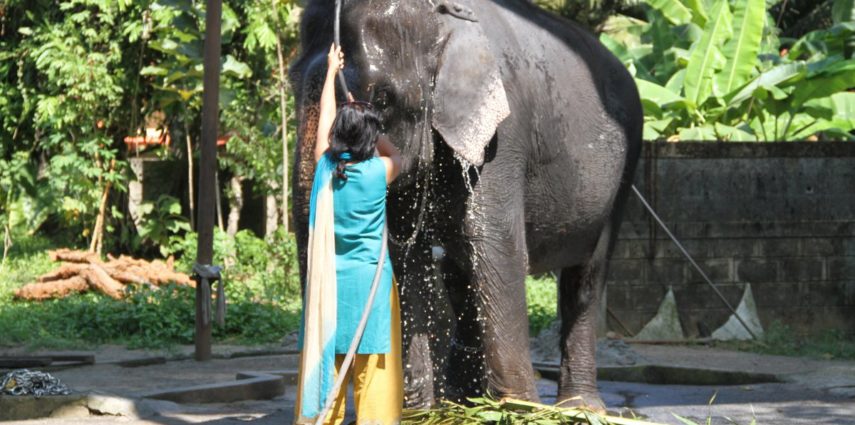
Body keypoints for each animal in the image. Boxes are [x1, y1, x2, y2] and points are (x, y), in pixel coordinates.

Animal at [290, 0, 640, 408]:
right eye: (292, 86)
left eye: (383, 99)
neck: (445, 22)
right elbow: (405, 258)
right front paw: (420, 411)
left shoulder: (503, 139)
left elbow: (497, 251)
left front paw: (518, 409)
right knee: (460, 276)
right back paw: (465, 402)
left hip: (625, 170)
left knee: (584, 277)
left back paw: (579, 407)